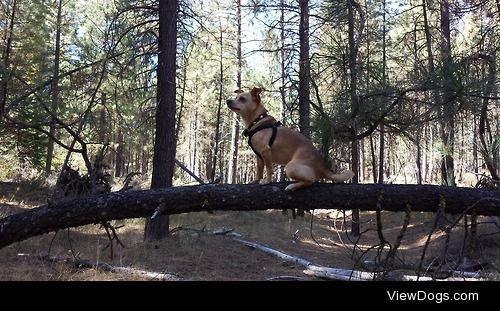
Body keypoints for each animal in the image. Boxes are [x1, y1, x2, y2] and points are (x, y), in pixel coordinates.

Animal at [225, 86, 354, 191]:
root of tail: (322, 167)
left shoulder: (265, 151)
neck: (258, 121)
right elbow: (259, 170)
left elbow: (268, 169)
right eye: (236, 97)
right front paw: (256, 180)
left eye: (242, 99)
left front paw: (267, 181)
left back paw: (292, 186)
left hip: (290, 167)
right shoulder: (259, 156)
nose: (228, 100)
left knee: (311, 180)